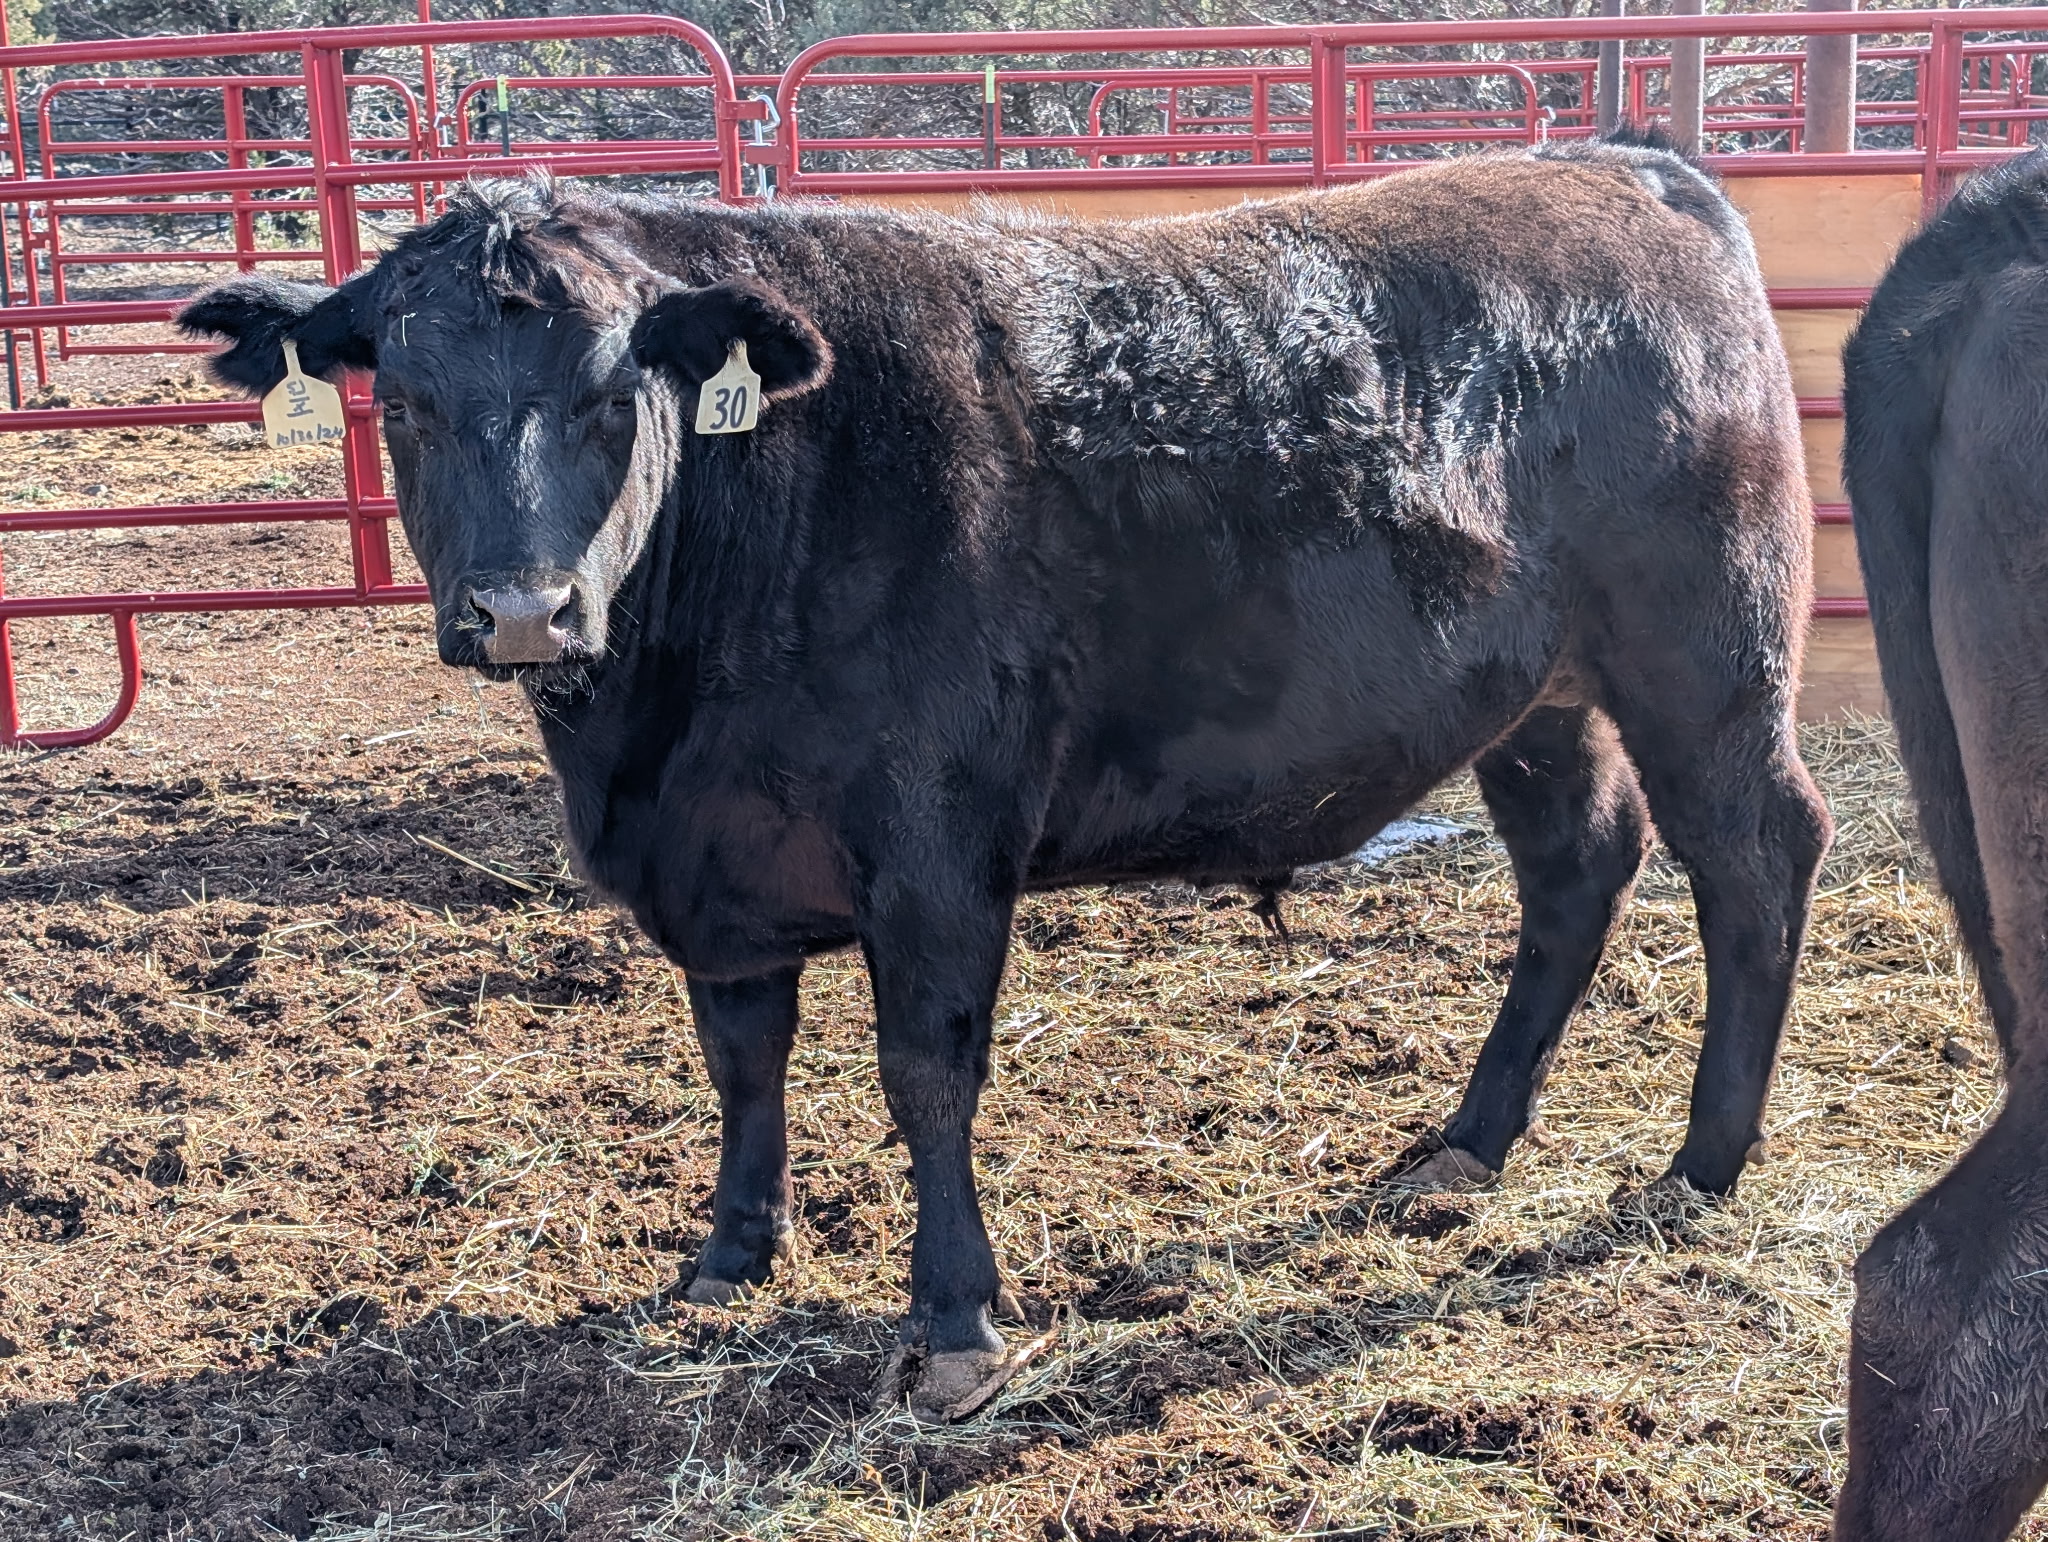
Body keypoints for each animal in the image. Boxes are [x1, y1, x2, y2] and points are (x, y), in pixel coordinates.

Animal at [180, 136, 1830, 1422]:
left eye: (609, 397)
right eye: (403, 401)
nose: (523, 610)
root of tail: (1626, 169)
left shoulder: (938, 842)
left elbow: (927, 1070)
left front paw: (957, 1322)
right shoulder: (721, 867)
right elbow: (742, 1059)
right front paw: (728, 1256)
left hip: (1708, 657)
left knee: (1755, 854)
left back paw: (1701, 1161)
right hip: (1539, 703)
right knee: (1579, 867)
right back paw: (1465, 1146)